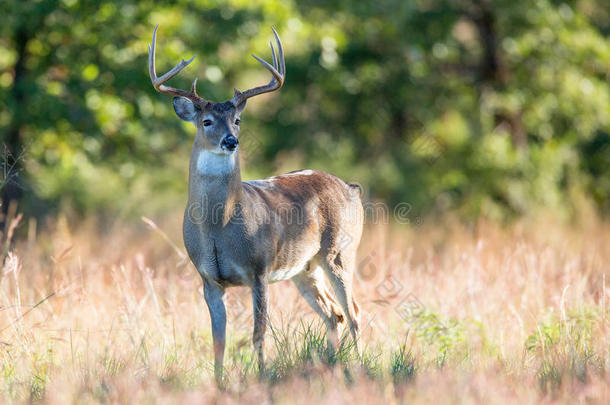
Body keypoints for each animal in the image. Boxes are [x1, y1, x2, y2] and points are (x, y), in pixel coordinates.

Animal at [148, 26, 364, 382]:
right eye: (207, 121)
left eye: (237, 120)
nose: (231, 141)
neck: (219, 228)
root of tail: (351, 187)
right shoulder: (208, 278)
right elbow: (218, 340)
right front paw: (218, 384)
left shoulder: (259, 268)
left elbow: (259, 333)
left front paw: (262, 377)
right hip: (304, 268)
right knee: (334, 314)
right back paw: (333, 364)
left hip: (340, 251)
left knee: (354, 311)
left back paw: (357, 367)